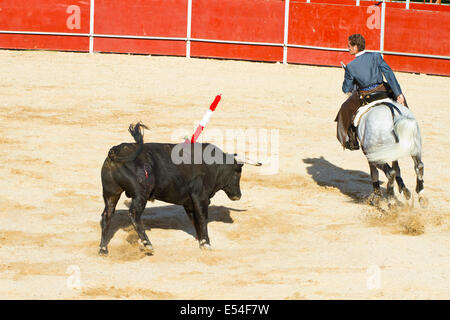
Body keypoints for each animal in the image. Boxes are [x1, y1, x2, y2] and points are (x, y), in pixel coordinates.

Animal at [98, 124, 250, 256]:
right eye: (238, 172)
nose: (238, 195)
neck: (214, 165)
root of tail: (115, 151)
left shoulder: (189, 202)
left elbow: (196, 220)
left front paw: (200, 241)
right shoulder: (200, 198)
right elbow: (202, 218)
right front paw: (206, 243)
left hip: (111, 193)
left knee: (107, 215)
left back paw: (103, 249)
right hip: (141, 194)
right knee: (134, 214)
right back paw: (147, 244)